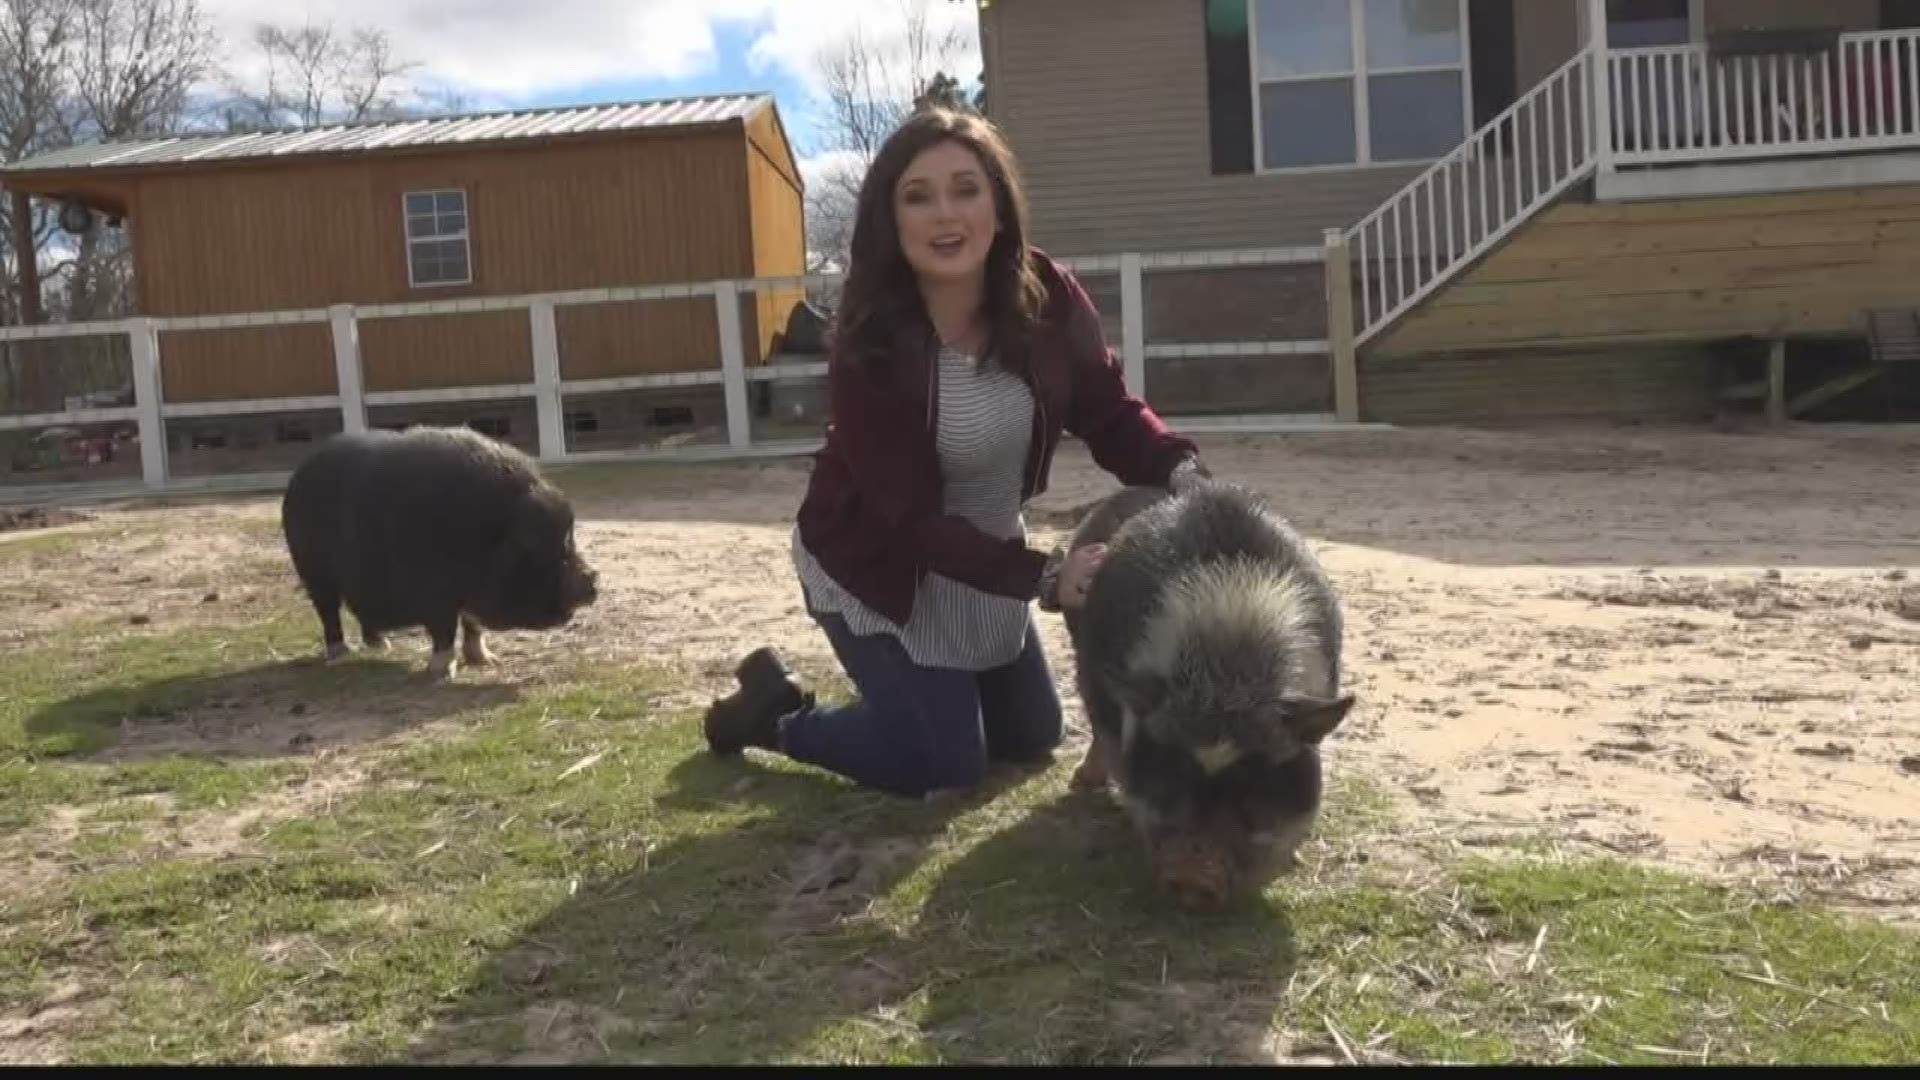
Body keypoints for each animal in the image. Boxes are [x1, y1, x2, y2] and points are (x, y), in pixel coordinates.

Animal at [278, 424, 599, 676]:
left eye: (569, 538)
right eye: (535, 544)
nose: (593, 577)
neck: (488, 536)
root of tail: (299, 475)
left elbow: (472, 626)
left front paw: (488, 662)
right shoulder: (435, 593)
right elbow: (445, 629)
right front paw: (441, 672)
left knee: (360, 611)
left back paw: (382, 646)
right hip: (313, 571)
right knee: (328, 610)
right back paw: (340, 655)